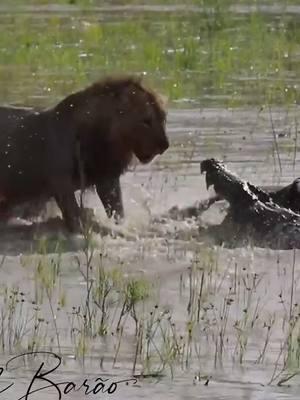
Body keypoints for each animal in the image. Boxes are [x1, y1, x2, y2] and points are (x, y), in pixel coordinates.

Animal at [0, 76, 169, 233]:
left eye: (163, 117)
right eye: (146, 121)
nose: (165, 146)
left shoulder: (107, 179)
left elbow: (117, 211)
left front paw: (120, 227)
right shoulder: (61, 183)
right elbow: (74, 215)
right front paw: (82, 232)